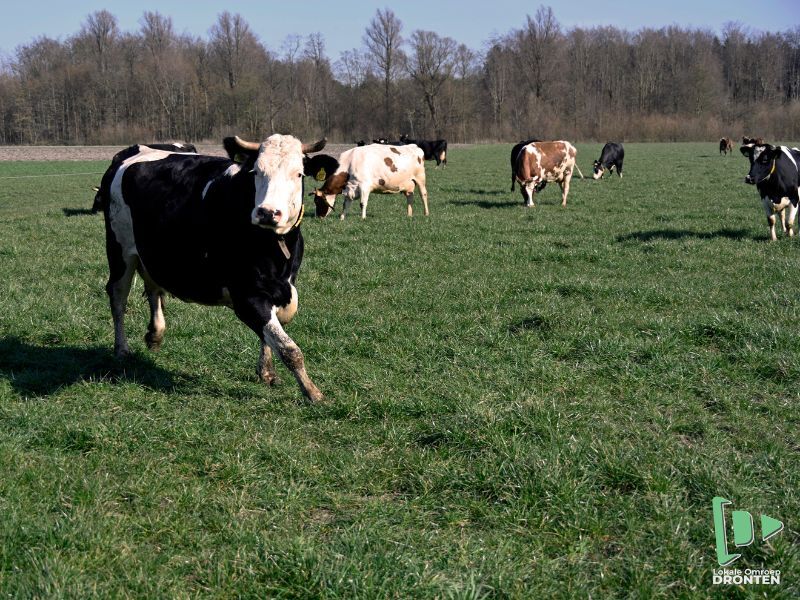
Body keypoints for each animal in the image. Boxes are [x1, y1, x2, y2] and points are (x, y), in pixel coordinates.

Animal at [97, 134, 336, 402]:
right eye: (256, 171)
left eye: (298, 174)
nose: (267, 212)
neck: (276, 249)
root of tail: (133, 150)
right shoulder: (246, 296)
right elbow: (288, 348)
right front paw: (312, 392)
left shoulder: (284, 286)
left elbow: (271, 335)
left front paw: (266, 371)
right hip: (119, 251)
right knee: (118, 298)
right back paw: (122, 349)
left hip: (152, 254)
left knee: (154, 289)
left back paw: (155, 335)